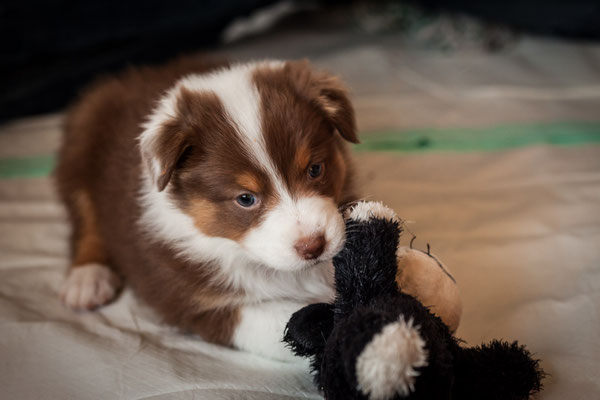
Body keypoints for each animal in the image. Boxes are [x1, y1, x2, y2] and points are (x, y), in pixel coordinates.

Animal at [55, 55, 356, 360]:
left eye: (315, 169)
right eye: (245, 198)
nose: (313, 246)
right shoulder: (193, 302)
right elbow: (282, 321)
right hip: (81, 145)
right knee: (85, 219)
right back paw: (87, 279)